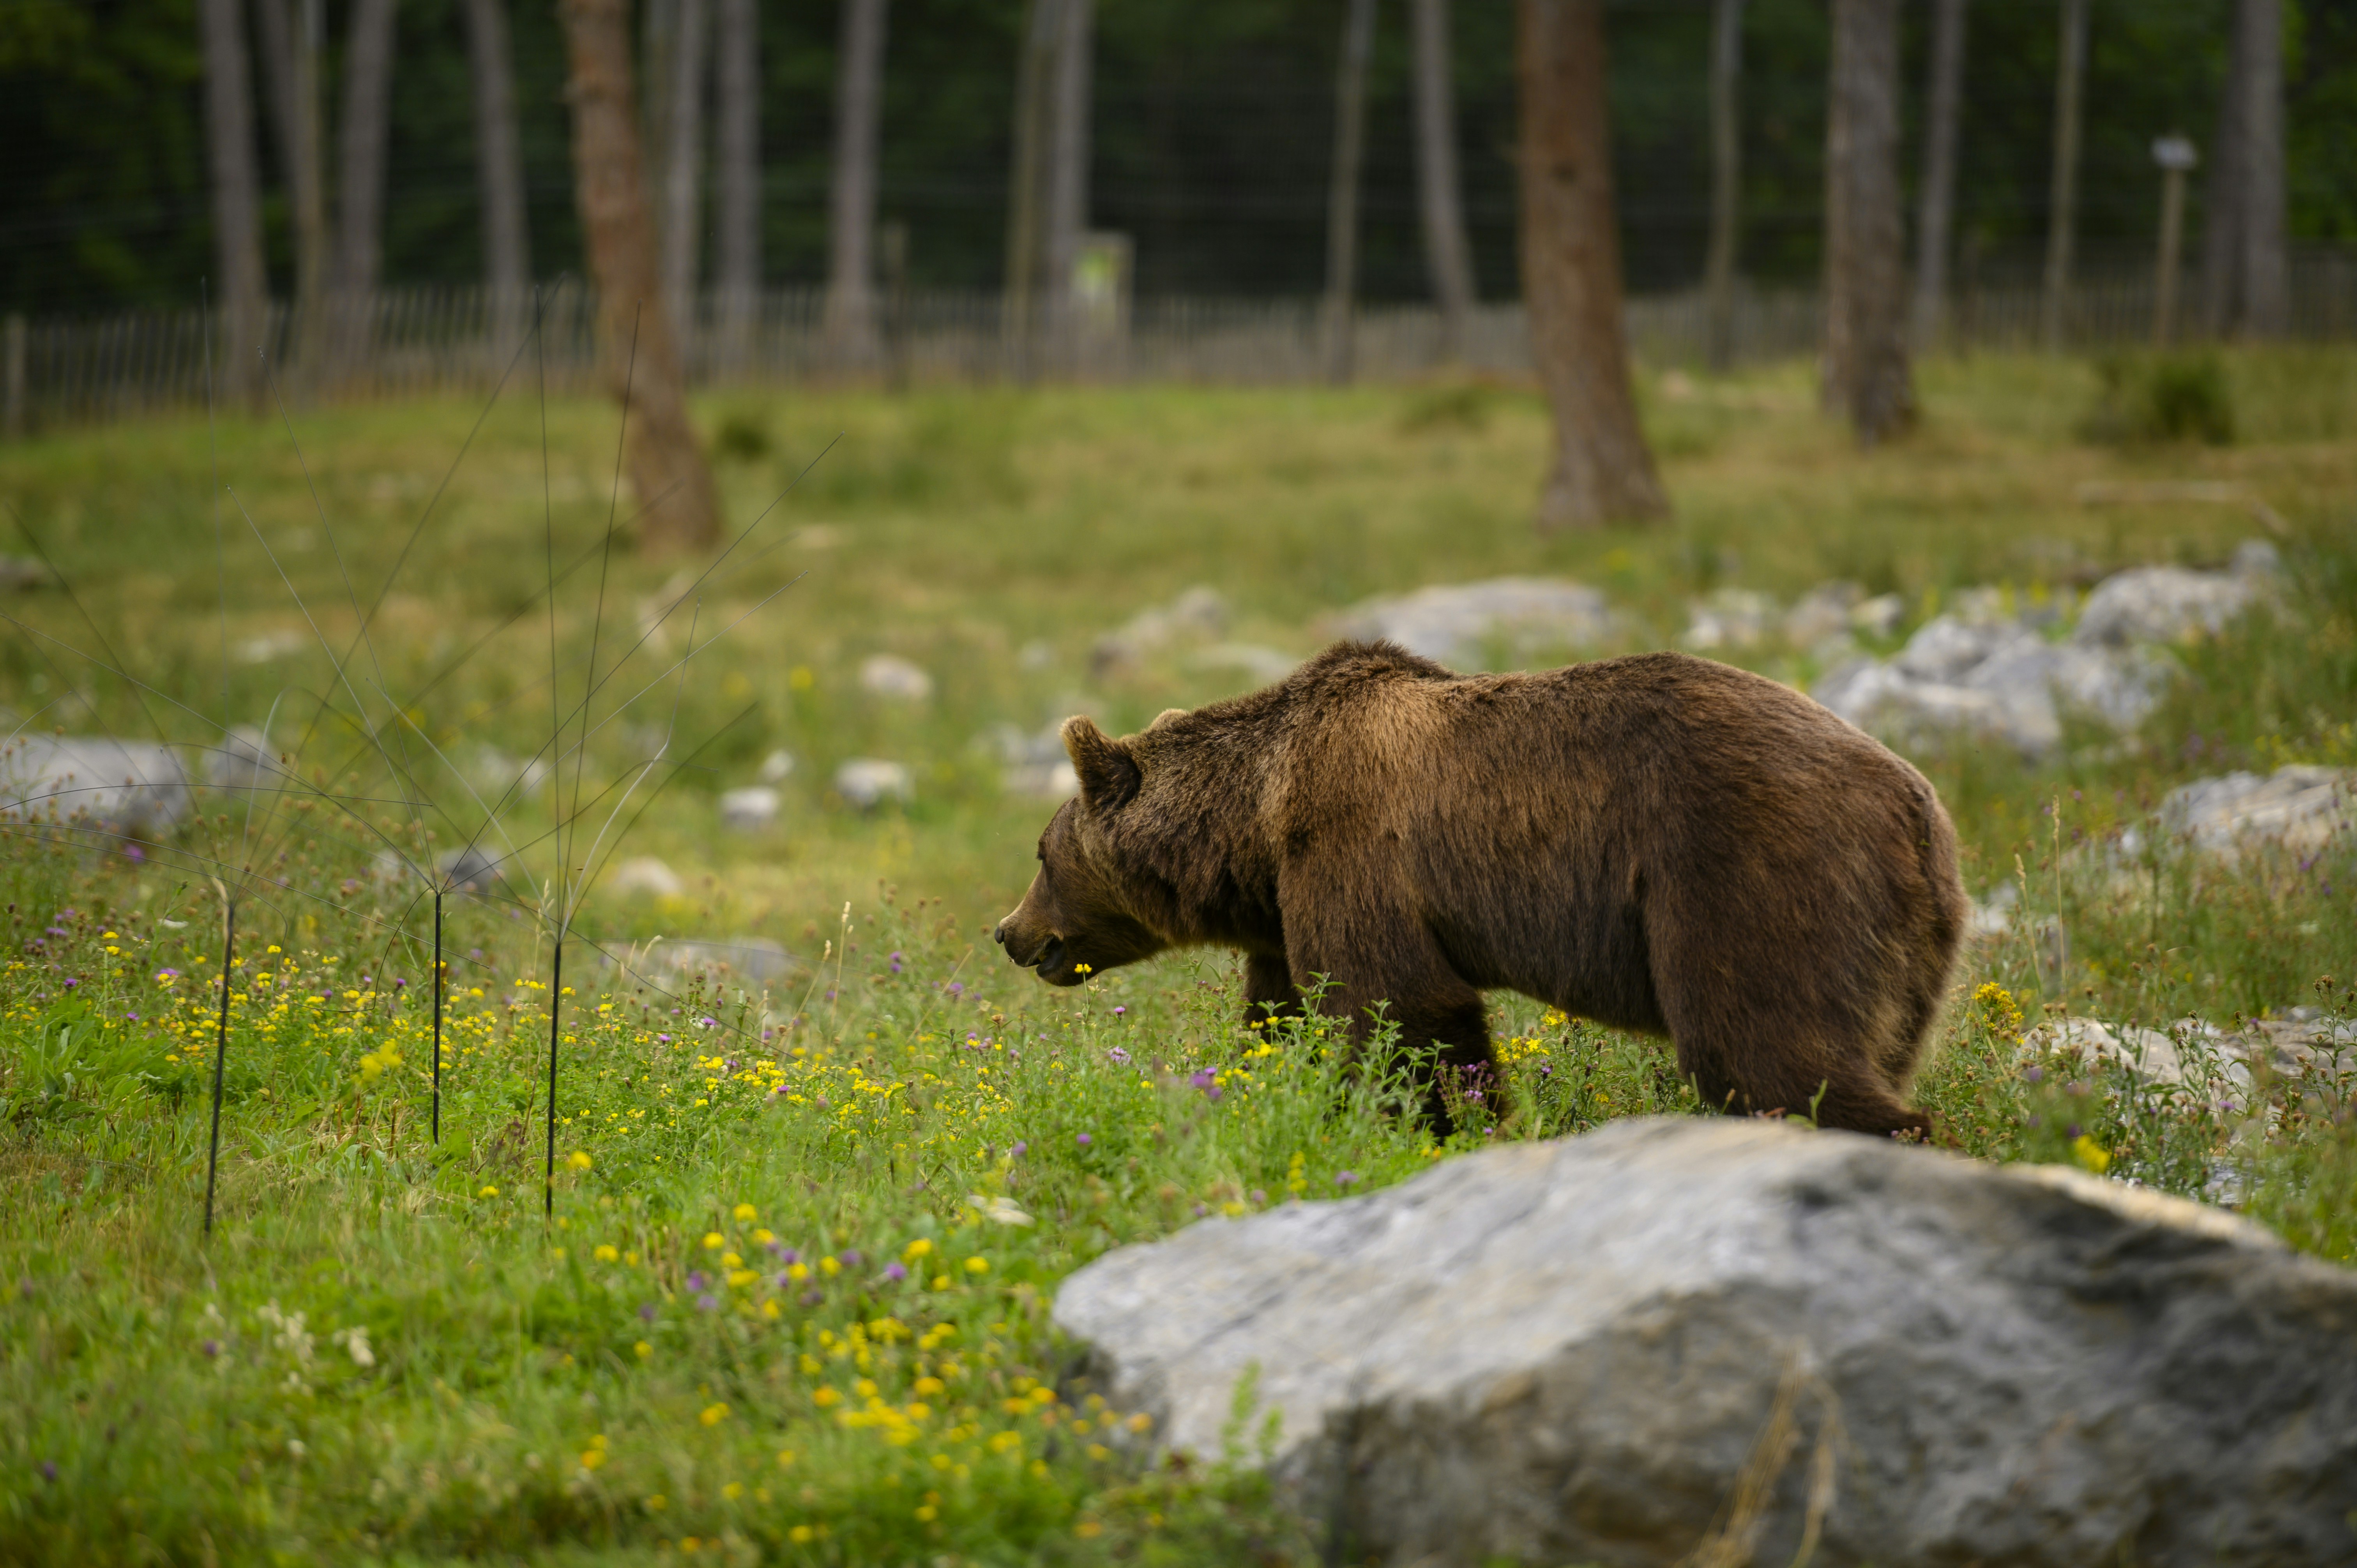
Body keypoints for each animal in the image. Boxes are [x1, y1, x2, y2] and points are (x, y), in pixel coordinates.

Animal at [992, 640, 1968, 1137]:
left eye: (1040, 852)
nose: (1008, 931)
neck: (1256, 827)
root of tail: (1917, 805)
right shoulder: (1284, 908)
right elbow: (1285, 1018)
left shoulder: (1355, 851)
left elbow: (1402, 1007)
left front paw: (1443, 1126)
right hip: (1899, 950)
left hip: (1748, 874)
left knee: (1765, 1051)